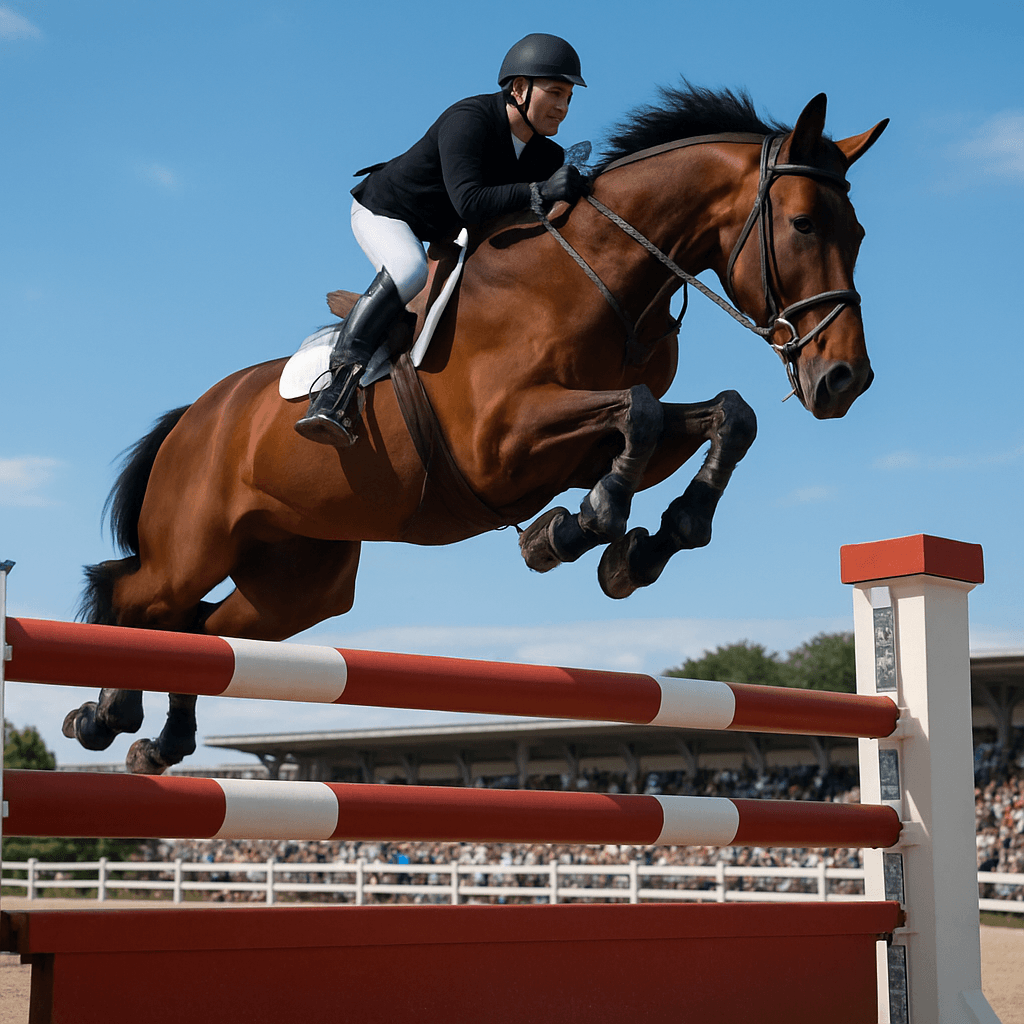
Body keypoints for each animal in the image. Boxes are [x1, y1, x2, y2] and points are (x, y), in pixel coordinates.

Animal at [63, 84, 887, 774]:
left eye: (858, 232)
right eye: (803, 224)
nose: (845, 380)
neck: (599, 276)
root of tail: (194, 415)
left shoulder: (587, 441)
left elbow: (721, 416)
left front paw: (641, 545)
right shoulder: (502, 441)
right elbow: (642, 414)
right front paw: (577, 530)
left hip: (299, 583)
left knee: (205, 629)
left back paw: (160, 739)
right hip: (193, 547)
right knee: (135, 595)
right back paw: (104, 713)